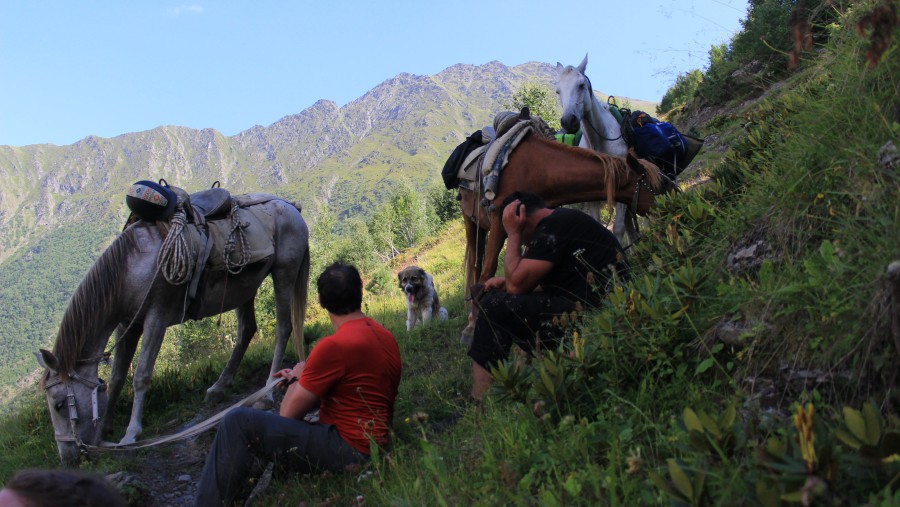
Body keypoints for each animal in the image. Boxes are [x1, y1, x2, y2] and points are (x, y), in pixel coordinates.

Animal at [37, 196, 310, 466]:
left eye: (59, 404)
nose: (68, 458)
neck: (131, 266)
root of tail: (291, 207)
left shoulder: (156, 318)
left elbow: (141, 376)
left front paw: (131, 434)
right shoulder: (127, 325)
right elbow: (116, 378)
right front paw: (103, 429)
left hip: (284, 274)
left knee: (283, 328)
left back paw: (268, 391)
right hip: (244, 286)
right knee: (246, 330)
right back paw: (218, 387)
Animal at [556, 54, 640, 245]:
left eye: (581, 85)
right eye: (558, 91)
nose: (568, 121)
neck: (599, 142)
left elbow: (618, 228)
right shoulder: (593, 198)